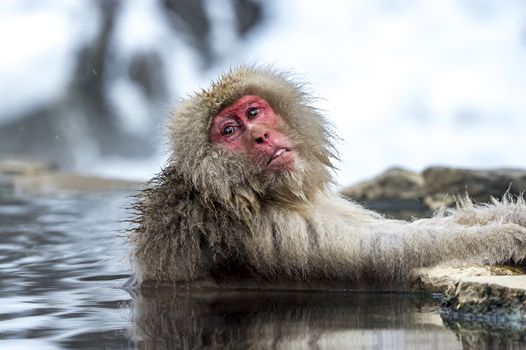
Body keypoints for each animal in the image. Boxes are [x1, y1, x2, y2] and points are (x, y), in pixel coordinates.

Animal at [129, 67, 526, 292]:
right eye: (228, 131)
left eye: (253, 113)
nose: (260, 136)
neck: (245, 193)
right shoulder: (262, 228)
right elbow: (387, 250)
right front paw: (503, 236)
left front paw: (509, 214)